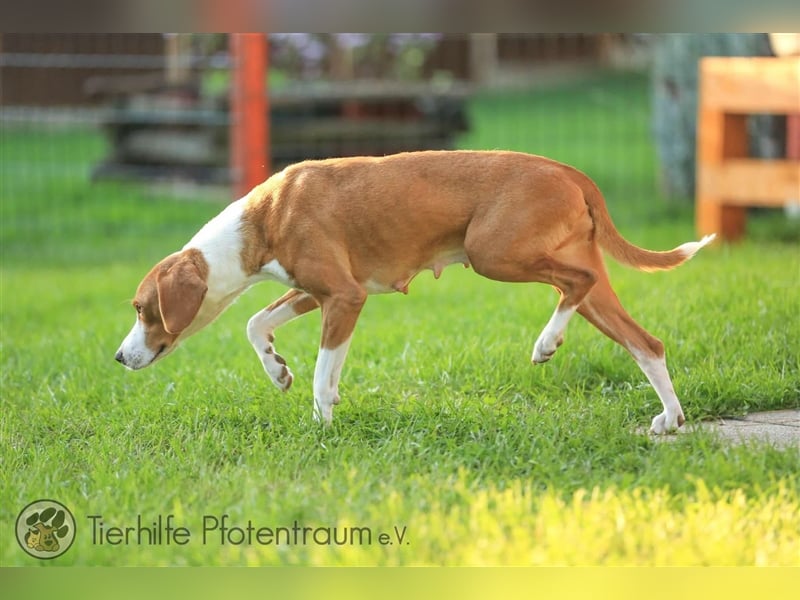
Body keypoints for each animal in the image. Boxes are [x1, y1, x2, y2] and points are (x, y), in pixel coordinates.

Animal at [114, 150, 712, 432]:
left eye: (143, 310)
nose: (119, 358)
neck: (261, 220)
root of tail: (565, 169)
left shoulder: (344, 297)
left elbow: (321, 374)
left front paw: (321, 426)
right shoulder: (318, 293)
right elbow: (255, 323)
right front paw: (278, 370)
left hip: (495, 254)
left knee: (575, 285)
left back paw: (546, 343)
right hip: (586, 290)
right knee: (646, 343)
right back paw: (671, 418)